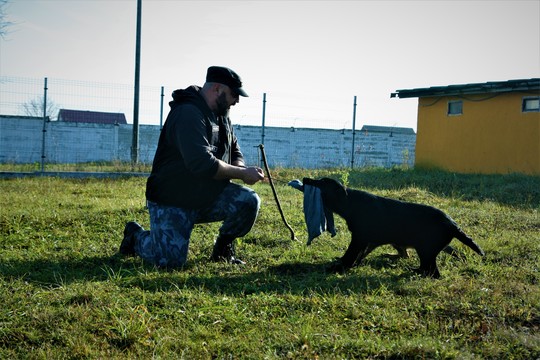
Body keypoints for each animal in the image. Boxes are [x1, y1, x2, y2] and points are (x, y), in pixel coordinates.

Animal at [304, 178, 486, 278]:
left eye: (322, 182)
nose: (305, 179)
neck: (350, 202)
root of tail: (453, 224)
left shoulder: (359, 238)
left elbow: (350, 255)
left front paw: (338, 268)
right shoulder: (366, 240)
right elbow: (359, 256)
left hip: (426, 249)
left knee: (433, 273)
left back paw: (413, 272)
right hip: (424, 249)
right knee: (427, 266)